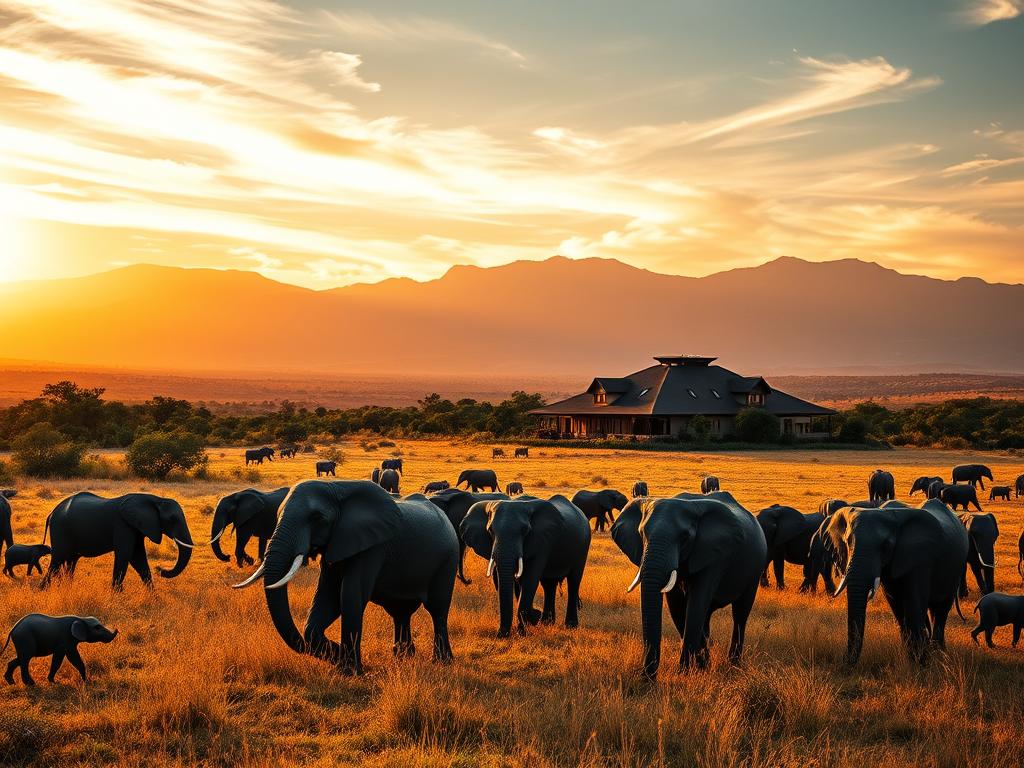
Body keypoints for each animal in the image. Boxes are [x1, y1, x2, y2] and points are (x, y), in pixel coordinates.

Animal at [41, 492, 194, 589]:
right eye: (172, 519)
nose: (160, 570)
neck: (155, 499)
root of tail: (51, 513)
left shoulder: (136, 527)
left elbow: (139, 558)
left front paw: (153, 597)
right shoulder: (123, 525)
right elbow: (126, 555)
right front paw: (116, 596)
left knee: (70, 561)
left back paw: (66, 589)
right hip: (60, 529)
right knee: (57, 561)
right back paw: (44, 590)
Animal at [233, 482, 458, 675]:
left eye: (317, 517)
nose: (337, 652)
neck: (337, 489)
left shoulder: (373, 547)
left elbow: (350, 595)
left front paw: (350, 671)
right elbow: (328, 596)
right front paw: (339, 659)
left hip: (448, 559)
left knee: (437, 610)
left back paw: (442, 661)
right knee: (400, 612)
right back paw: (403, 656)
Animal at [461, 495, 591, 638]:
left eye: (525, 531)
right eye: (490, 531)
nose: (501, 634)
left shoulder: (543, 541)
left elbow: (530, 579)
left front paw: (525, 628)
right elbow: (513, 581)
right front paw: (524, 628)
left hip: (583, 547)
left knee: (574, 581)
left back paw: (570, 626)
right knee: (549, 584)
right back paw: (547, 623)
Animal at [611, 492, 766, 678]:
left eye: (685, 538)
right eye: (642, 534)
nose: (646, 678)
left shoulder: (715, 556)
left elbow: (696, 603)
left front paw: (683, 673)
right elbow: (677, 607)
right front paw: (697, 669)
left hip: (755, 570)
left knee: (740, 614)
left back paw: (733, 665)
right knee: (706, 618)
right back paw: (706, 663)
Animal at [823, 499, 968, 665]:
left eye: (886, 546)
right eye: (848, 542)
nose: (843, 661)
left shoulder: (921, 558)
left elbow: (913, 604)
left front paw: (921, 663)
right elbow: (896, 604)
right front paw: (913, 658)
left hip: (956, 569)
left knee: (941, 609)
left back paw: (939, 653)